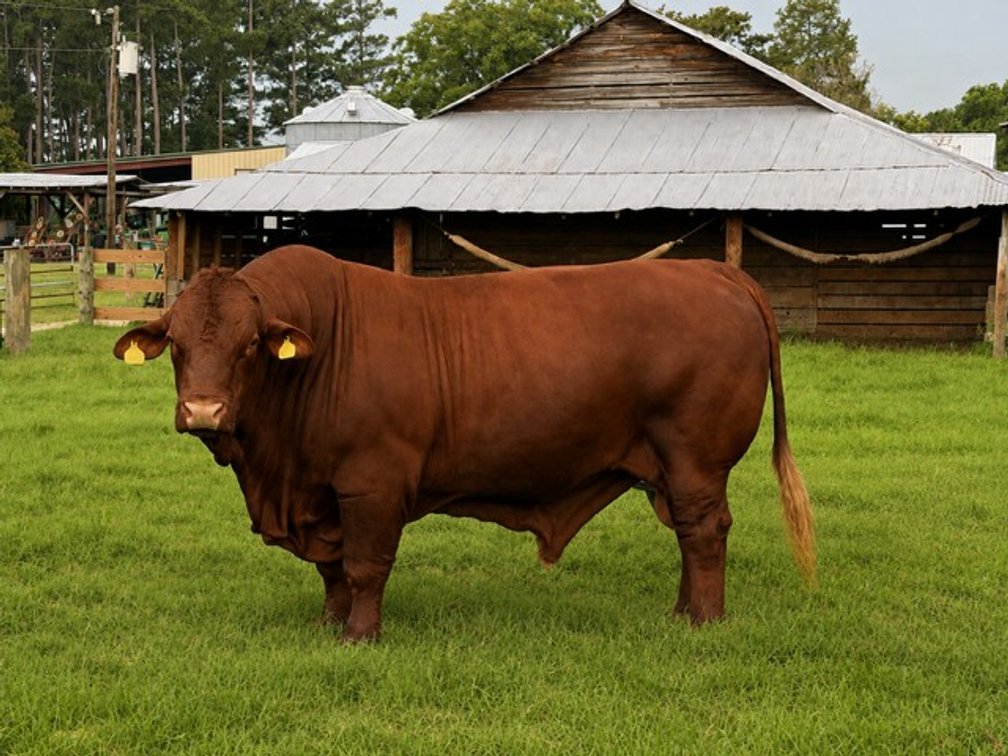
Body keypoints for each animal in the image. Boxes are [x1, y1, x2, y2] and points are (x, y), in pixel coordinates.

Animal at [114, 244, 814, 643]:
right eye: (176, 344)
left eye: (250, 345)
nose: (203, 410)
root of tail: (714, 271)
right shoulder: (321, 493)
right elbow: (331, 570)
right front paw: (328, 623)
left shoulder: (371, 484)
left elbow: (364, 566)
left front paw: (359, 637)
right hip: (664, 468)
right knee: (689, 536)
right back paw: (679, 613)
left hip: (696, 459)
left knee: (705, 532)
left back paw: (703, 622)